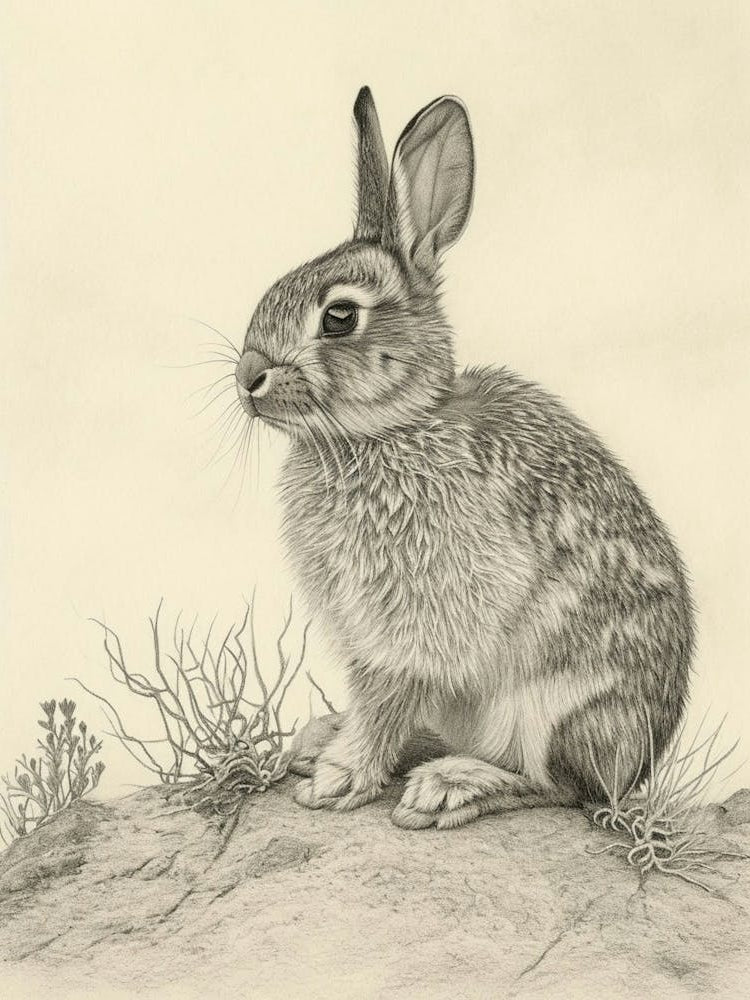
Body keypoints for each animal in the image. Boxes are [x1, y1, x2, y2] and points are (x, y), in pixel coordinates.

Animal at [234, 86, 694, 830]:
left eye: (339, 317)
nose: (246, 375)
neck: (382, 431)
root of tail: (642, 758)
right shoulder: (368, 637)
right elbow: (375, 699)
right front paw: (334, 757)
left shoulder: (415, 628)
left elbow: (387, 700)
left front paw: (339, 779)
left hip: (555, 708)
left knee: (563, 787)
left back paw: (447, 788)